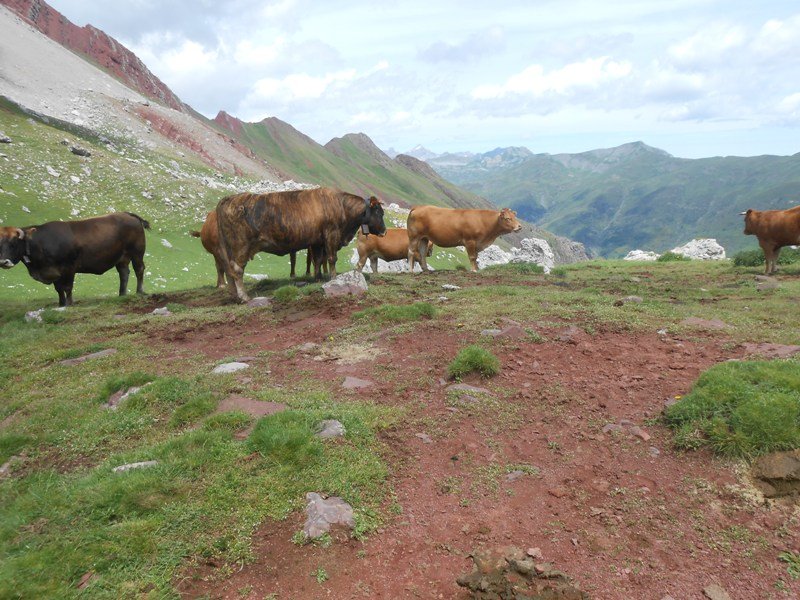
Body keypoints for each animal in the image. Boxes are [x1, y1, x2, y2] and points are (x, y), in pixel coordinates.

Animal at [0, 211, 149, 308]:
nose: (3, 262)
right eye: (0, 244)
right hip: (122, 258)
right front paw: (61, 304)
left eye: (14, 243)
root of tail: (128, 214)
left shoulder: (69, 267)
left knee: (139, 270)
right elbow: (58, 289)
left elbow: (67, 287)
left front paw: (70, 304)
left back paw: (139, 291)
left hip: (137, 252)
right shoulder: (55, 272)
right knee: (124, 273)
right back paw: (122, 294)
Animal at [216, 186, 384, 300]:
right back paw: (244, 297)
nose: (384, 231)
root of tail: (229, 199)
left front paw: (318, 278)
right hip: (241, 247)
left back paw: (234, 294)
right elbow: (331, 259)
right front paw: (334, 278)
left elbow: (318, 260)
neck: (341, 205)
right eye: (378, 212)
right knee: (237, 270)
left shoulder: (317, 242)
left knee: (229, 270)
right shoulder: (331, 235)